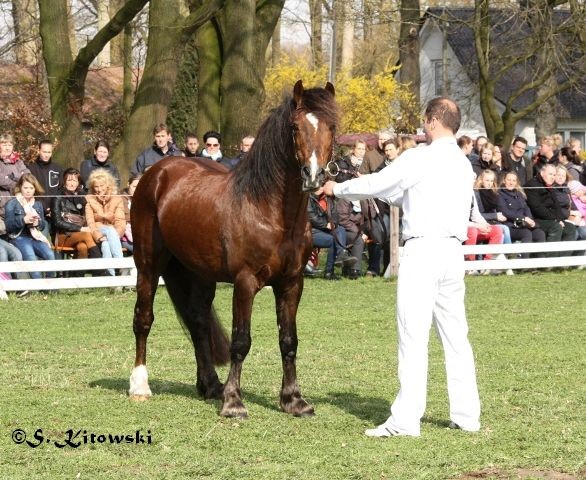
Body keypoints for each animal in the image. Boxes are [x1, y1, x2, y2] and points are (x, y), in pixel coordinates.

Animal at [128, 80, 338, 418]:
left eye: (331, 126)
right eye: (295, 127)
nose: (314, 175)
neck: (269, 211)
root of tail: (157, 172)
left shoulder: (292, 283)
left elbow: (288, 340)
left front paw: (293, 400)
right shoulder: (245, 282)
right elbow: (241, 341)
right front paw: (233, 402)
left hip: (199, 273)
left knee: (198, 321)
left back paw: (210, 385)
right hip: (149, 264)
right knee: (143, 318)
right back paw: (140, 386)